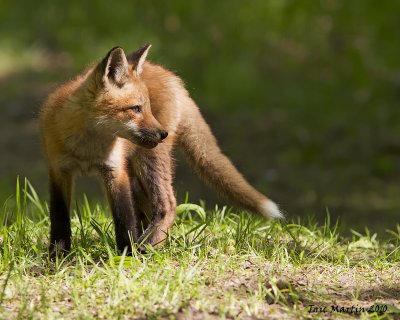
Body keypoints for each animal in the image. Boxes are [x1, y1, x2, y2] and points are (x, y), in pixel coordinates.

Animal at [39, 45, 282, 256]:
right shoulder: (58, 169)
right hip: (137, 173)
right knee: (148, 207)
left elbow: (123, 217)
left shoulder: (115, 171)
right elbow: (59, 216)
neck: (87, 149)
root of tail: (171, 76)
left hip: (150, 159)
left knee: (168, 205)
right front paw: (58, 255)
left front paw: (126, 255)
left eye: (146, 108)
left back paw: (147, 245)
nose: (163, 134)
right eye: (136, 108)